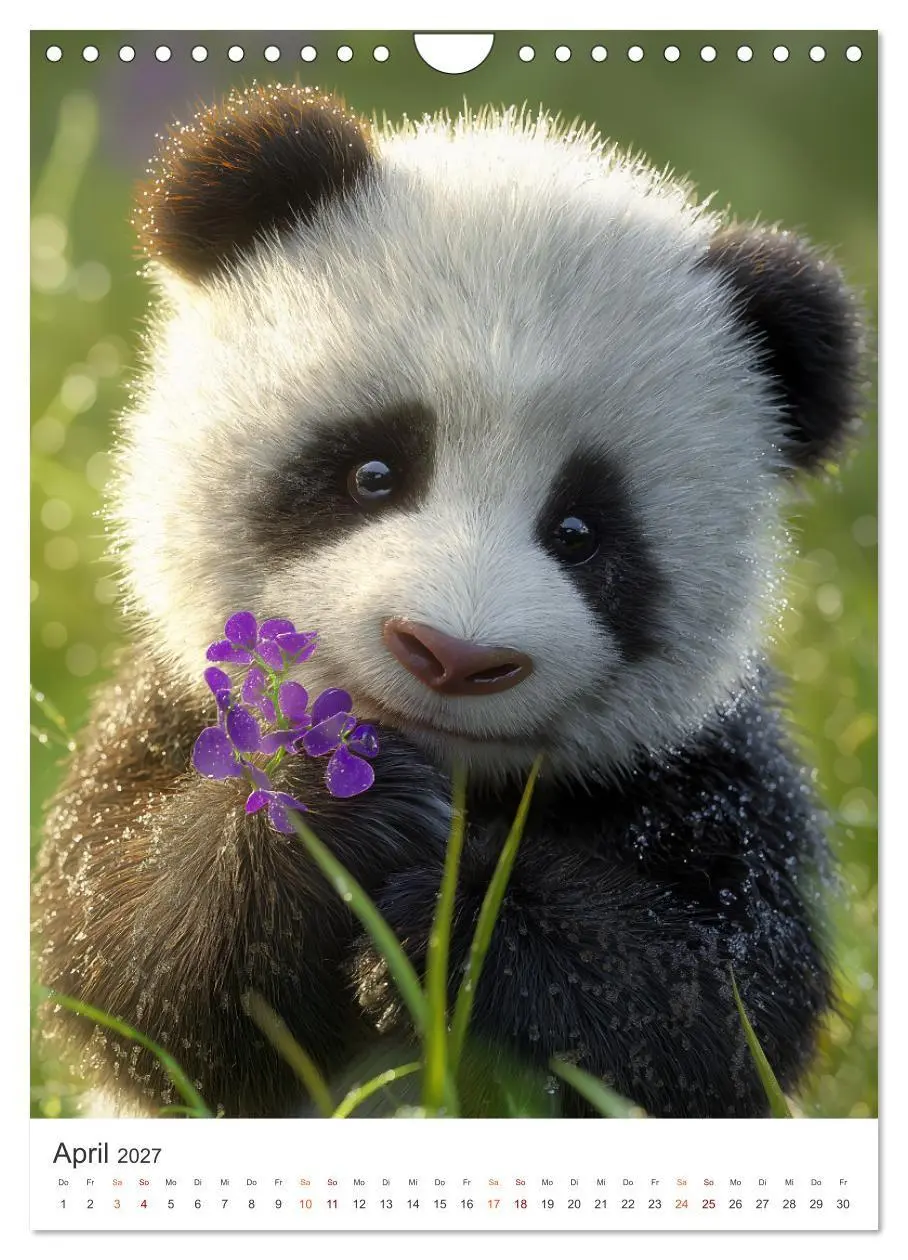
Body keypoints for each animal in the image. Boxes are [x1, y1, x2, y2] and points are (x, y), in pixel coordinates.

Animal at [34, 84, 866, 1119]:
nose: (454, 656)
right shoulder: (167, 707)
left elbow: (714, 1007)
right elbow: (120, 953)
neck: (457, 772)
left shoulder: (710, 776)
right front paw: (332, 799)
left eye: (582, 532)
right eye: (372, 471)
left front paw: (451, 921)